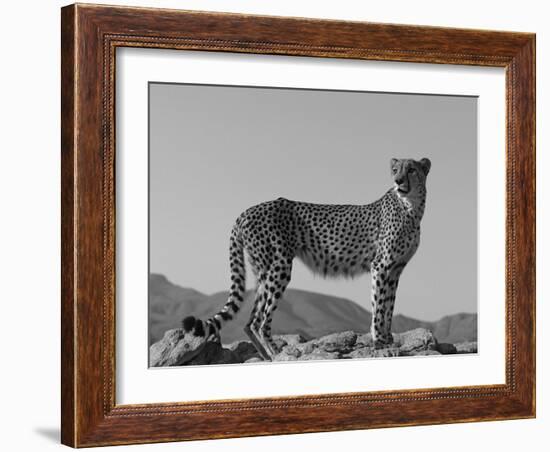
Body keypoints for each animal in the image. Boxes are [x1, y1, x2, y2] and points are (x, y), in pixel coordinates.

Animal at [181, 157, 432, 362]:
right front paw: (380, 343)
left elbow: (388, 305)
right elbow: (379, 306)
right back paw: (278, 354)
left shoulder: (395, 269)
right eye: (395, 170)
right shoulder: (381, 266)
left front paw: (387, 339)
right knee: (260, 320)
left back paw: (266, 356)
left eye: (411, 169)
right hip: (279, 266)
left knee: (250, 320)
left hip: (263, 270)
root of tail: (247, 211)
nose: (398, 181)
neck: (411, 208)